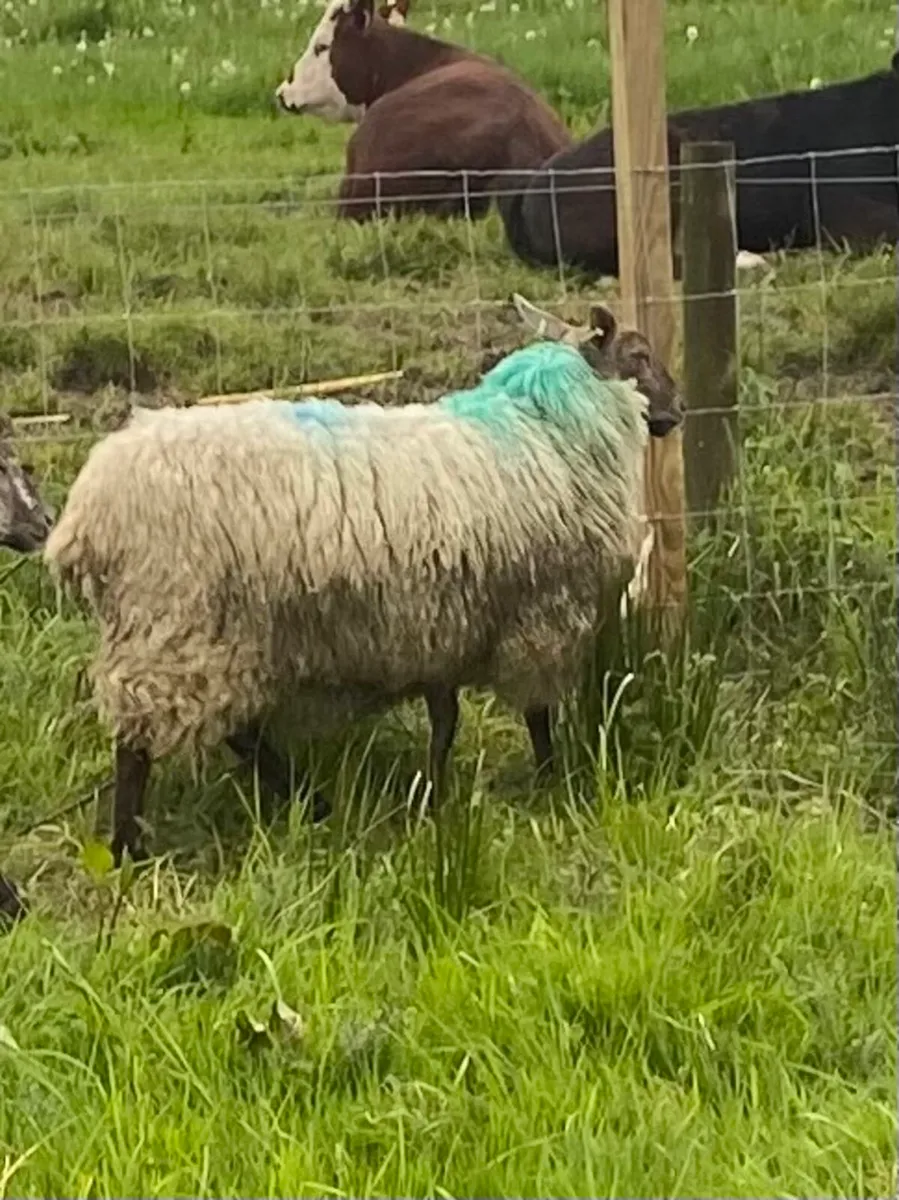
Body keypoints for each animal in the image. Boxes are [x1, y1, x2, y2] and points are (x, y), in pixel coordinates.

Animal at [44, 297, 681, 864]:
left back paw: (307, 803)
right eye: (640, 354)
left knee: (228, 732)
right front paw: (552, 782)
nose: (677, 411)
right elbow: (537, 715)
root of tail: (86, 516)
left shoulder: (439, 628)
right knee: (144, 742)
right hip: (179, 626)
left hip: (197, 634)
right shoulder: (543, 616)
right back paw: (133, 846)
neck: (547, 426)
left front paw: (433, 797)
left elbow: (445, 723)